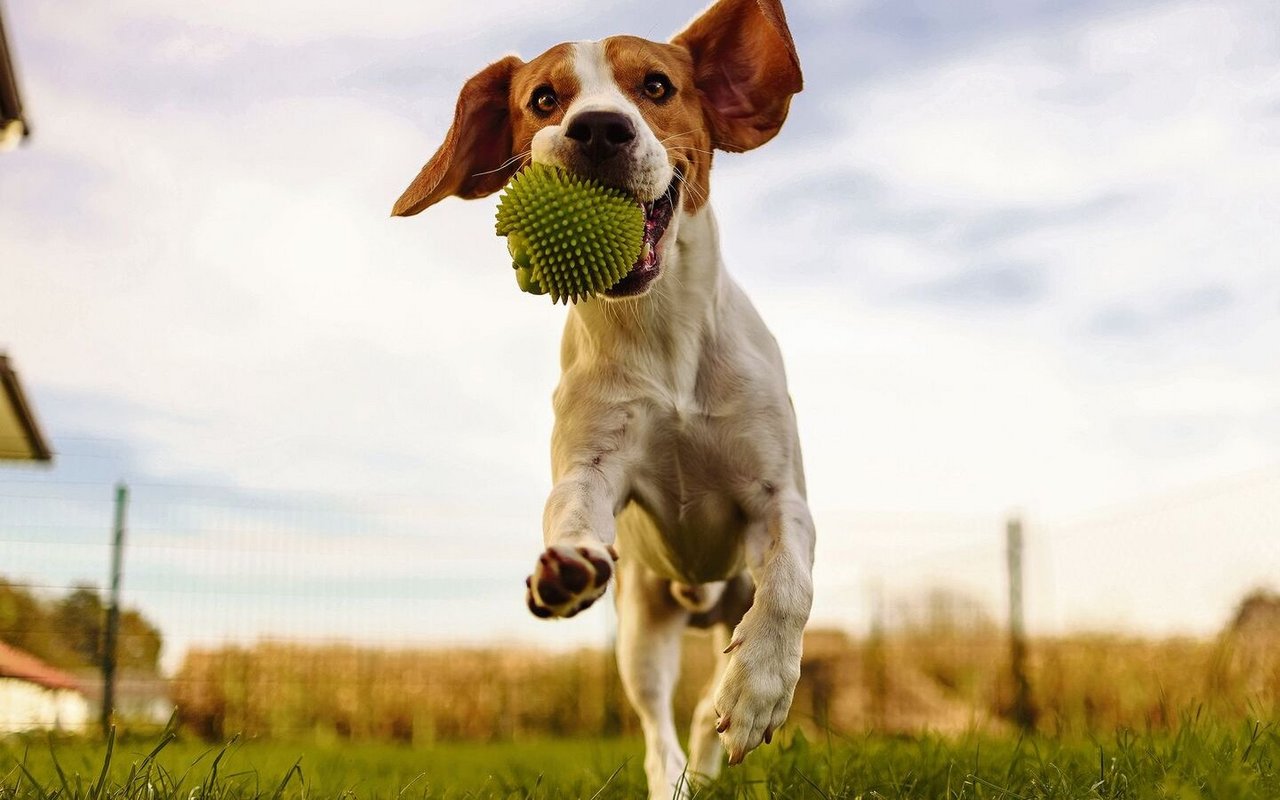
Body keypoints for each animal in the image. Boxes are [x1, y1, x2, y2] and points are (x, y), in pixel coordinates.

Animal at [391, 3, 808, 793]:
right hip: (642, 628)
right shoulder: (592, 464)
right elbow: (571, 509)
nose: (599, 128)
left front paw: (760, 687)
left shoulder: (778, 495)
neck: (660, 334)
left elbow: (791, 581)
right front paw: (567, 565)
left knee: (705, 696)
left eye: (656, 85)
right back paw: (674, 777)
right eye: (543, 99)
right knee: (658, 731)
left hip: (725, 596)